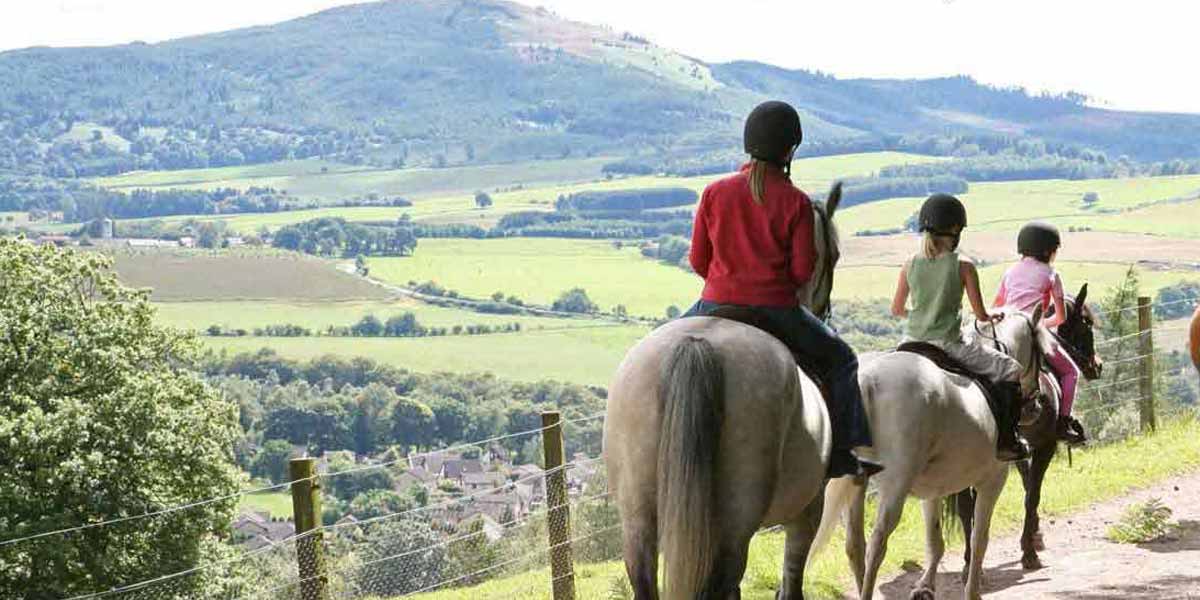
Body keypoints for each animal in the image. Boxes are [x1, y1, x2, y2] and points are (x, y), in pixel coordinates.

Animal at [603, 183, 843, 600]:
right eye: (834, 255)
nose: (824, 310)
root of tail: (696, 345)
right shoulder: (808, 509)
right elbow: (792, 575)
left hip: (638, 515)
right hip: (736, 523)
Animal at [812, 306, 1052, 600]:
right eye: (1040, 353)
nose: (1037, 405)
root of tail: (867, 379)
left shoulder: (933, 489)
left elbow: (935, 540)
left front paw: (926, 586)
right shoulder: (993, 480)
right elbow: (979, 539)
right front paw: (972, 590)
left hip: (856, 480)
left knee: (855, 545)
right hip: (896, 484)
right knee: (877, 543)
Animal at [954, 284, 1103, 572]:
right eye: (1087, 323)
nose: (1097, 365)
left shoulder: (1020, 450)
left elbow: (1026, 488)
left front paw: (1034, 536)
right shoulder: (1046, 445)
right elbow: (1032, 493)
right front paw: (1030, 550)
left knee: (966, 505)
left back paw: (968, 560)